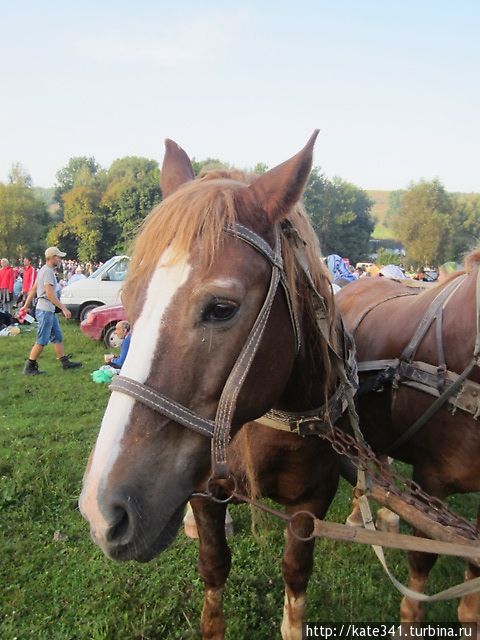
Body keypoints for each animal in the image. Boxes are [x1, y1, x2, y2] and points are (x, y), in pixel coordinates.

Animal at [79, 132, 356, 636]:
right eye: (128, 296)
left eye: (222, 308)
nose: (101, 508)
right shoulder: (204, 493)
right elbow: (213, 564)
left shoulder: (312, 502)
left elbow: (295, 572)